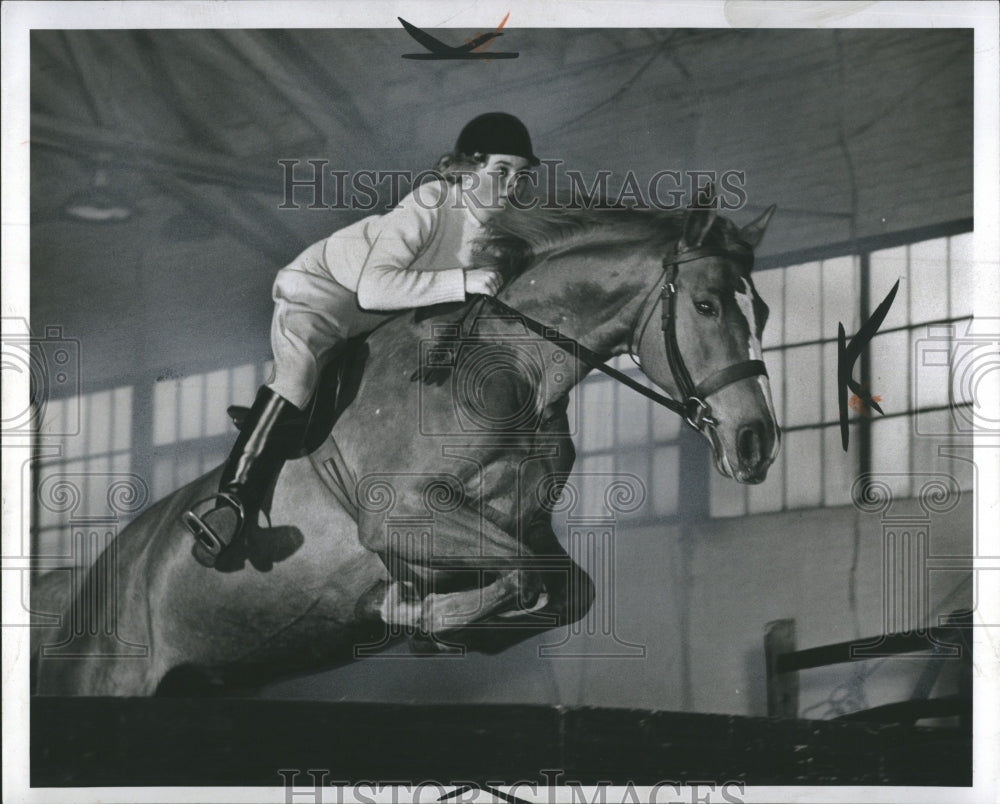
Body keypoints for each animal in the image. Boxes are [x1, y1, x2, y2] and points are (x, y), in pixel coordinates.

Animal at [31, 198, 780, 696]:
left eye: (764, 310)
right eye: (707, 305)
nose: (756, 442)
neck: (513, 369)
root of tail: (80, 587)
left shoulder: (522, 527)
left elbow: (565, 589)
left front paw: (434, 620)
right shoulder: (400, 516)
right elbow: (524, 577)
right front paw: (413, 613)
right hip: (104, 681)